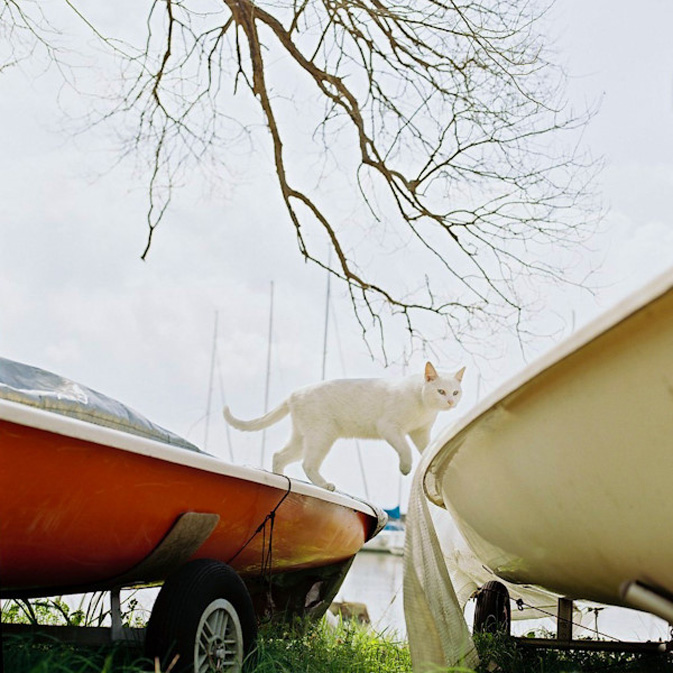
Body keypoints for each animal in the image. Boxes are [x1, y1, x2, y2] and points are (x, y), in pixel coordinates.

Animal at [223, 362, 464, 488]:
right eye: (441, 391)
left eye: (455, 392)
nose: (451, 402)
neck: (423, 406)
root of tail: (294, 394)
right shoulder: (390, 428)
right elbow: (405, 449)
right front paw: (405, 468)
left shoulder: (420, 433)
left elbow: (427, 448)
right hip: (322, 436)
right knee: (307, 464)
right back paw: (324, 485)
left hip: (304, 438)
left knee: (279, 455)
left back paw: (282, 480)